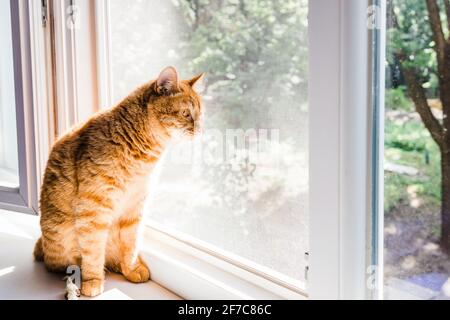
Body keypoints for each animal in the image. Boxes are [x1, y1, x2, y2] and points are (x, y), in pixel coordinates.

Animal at [34, 67, 203, 298]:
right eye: (186, 113)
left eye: (200, 115)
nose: (200, 130)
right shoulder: (93, 211)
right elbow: (93, 253)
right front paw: (94, 281)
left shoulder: (135, 207)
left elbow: (130, 245)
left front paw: (131, 268)